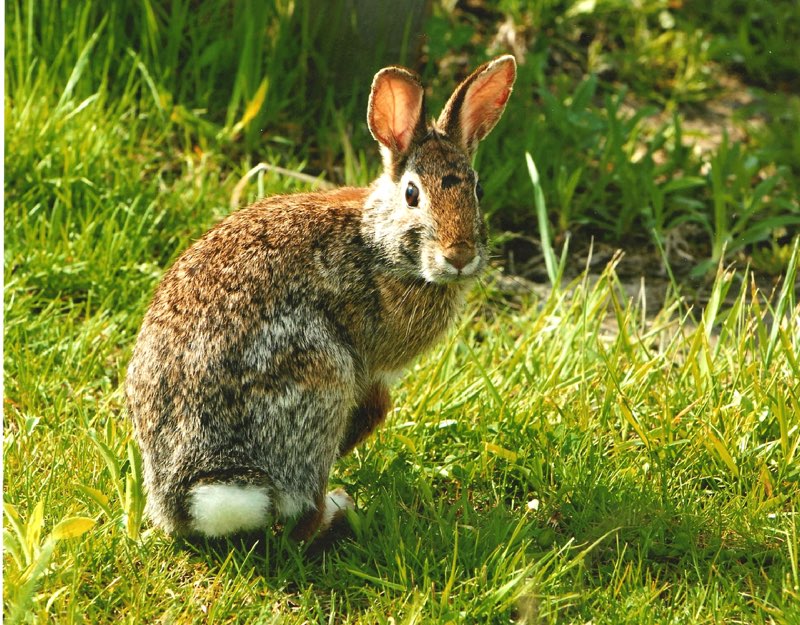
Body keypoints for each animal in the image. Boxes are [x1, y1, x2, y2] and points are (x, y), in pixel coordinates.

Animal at [122, 56, 516, 540]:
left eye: (477, 190)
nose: (459, 255)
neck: (376, 244)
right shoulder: (368, 364)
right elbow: (378, 406)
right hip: (319, 377)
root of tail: (188, 497)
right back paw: (340, 508)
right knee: (302, 512)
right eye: (412, 193)